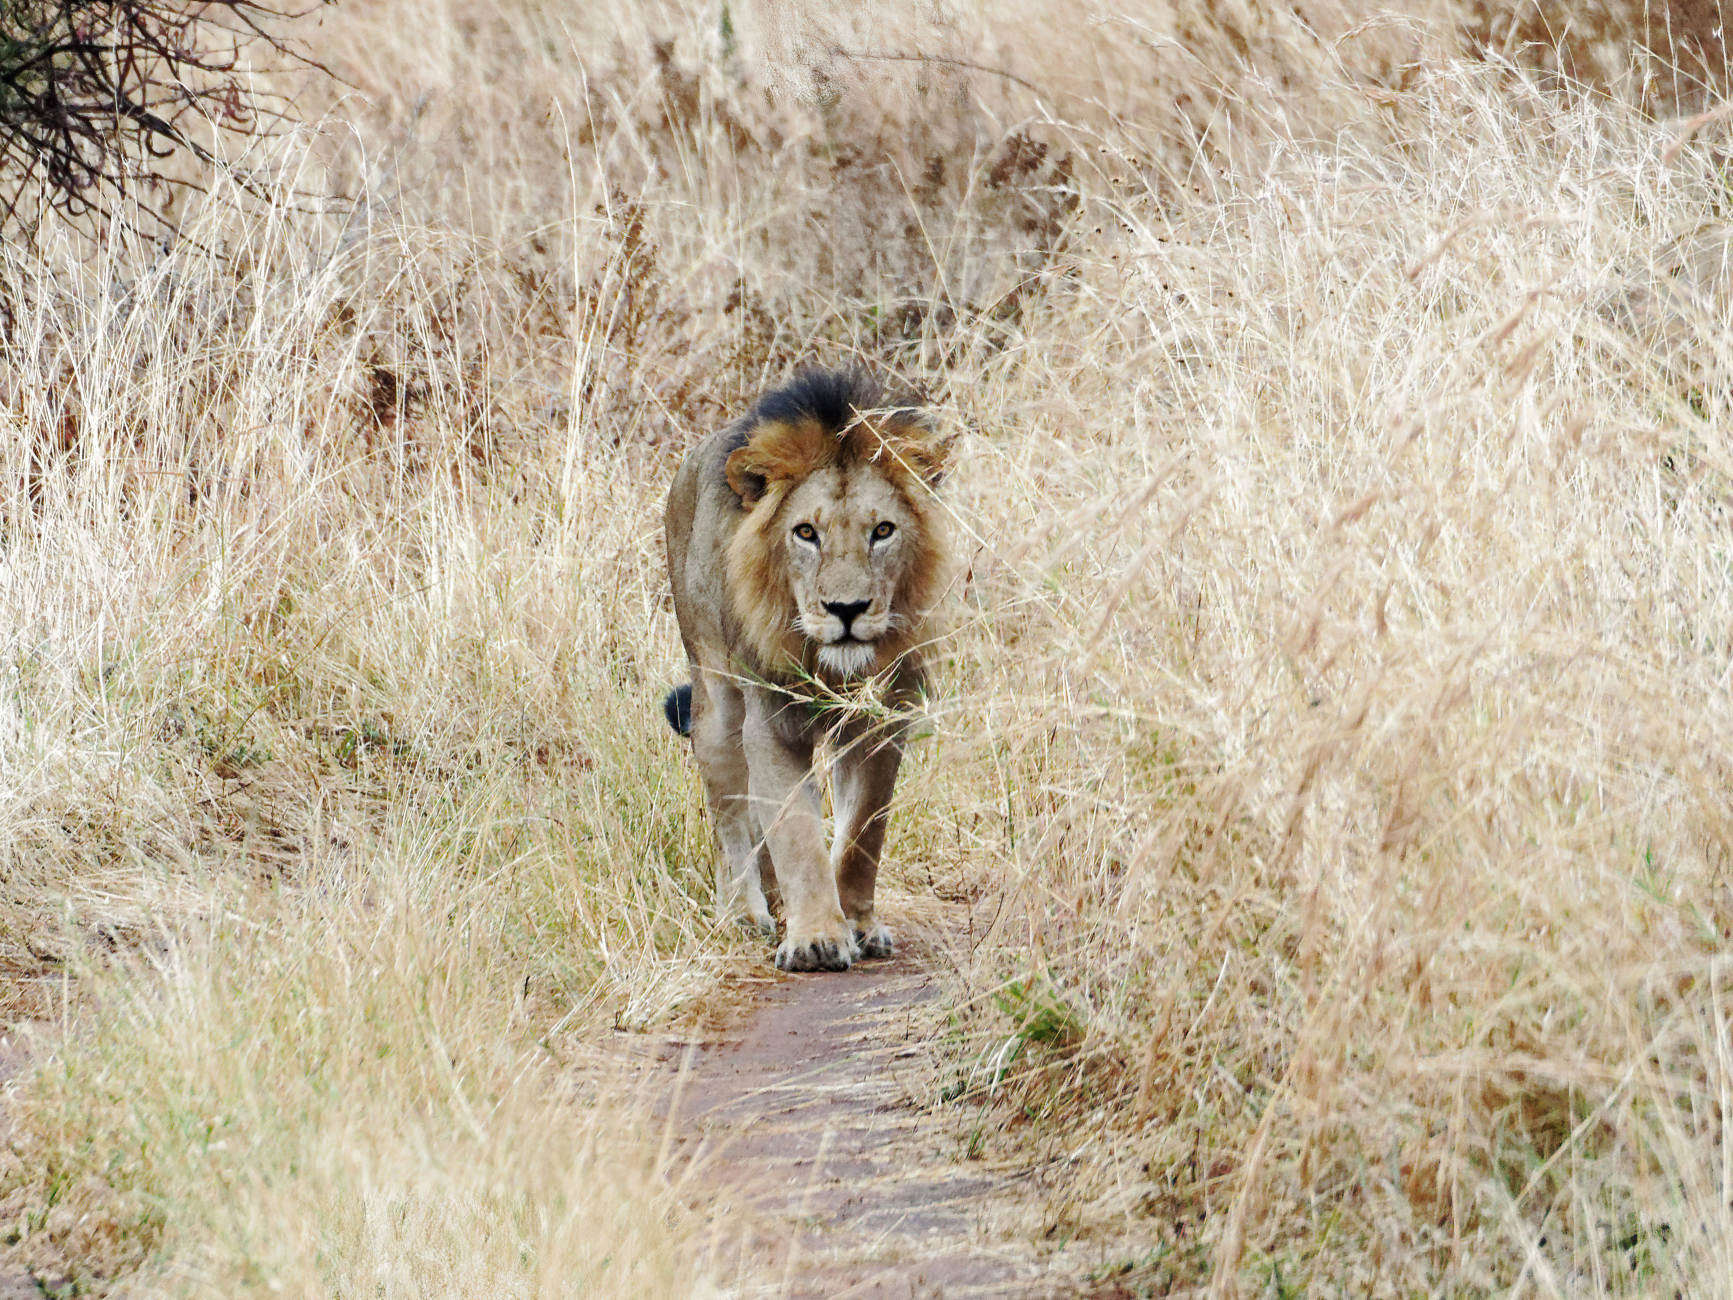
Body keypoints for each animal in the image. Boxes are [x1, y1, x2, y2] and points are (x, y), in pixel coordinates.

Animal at [658, 370, 949, 970]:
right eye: (806, 533)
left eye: (882, 531)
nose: (846, 609)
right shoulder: (771, 726)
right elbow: (795, 834)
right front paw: (815, 939)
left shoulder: (884, 722)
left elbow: (861, 833)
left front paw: (858, 925)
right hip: (715, 701)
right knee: (728, 814)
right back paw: (745, 914)